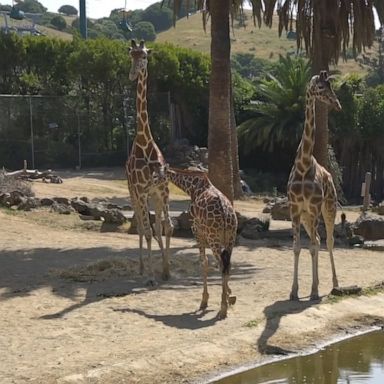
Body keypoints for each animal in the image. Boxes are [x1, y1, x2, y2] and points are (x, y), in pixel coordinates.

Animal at [153, 166, 237, 320]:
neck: (191, 187)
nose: (150, 183)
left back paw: (223, 309)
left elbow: (204, 262)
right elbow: (213, 263)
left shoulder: (197, 230)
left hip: (213, 237)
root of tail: (226, 214)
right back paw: (225, 303)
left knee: (222, 264)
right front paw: (230, 295)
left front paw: (204, 301)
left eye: (157, 176)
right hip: (230, 238)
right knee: (227, 265)